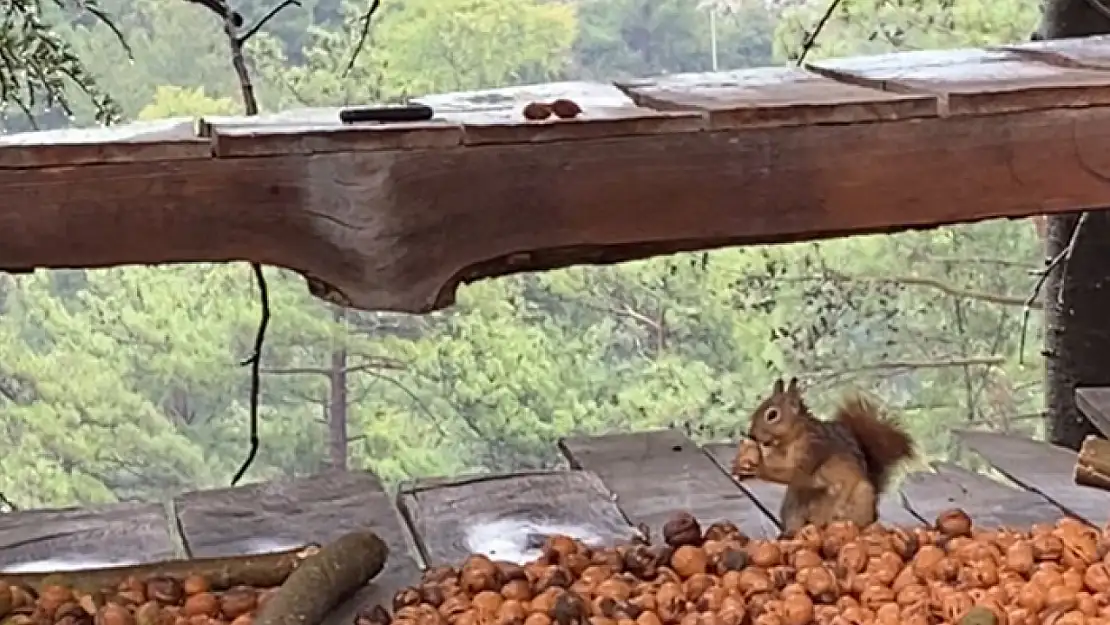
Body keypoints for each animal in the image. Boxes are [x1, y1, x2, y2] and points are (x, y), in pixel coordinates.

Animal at [737, 377, 910, 537]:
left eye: (772, 415)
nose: (751, 435)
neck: (791, 438)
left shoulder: (814, 450)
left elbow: (793, 473)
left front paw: (758, 467)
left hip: (860, 498)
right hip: (794, 501)